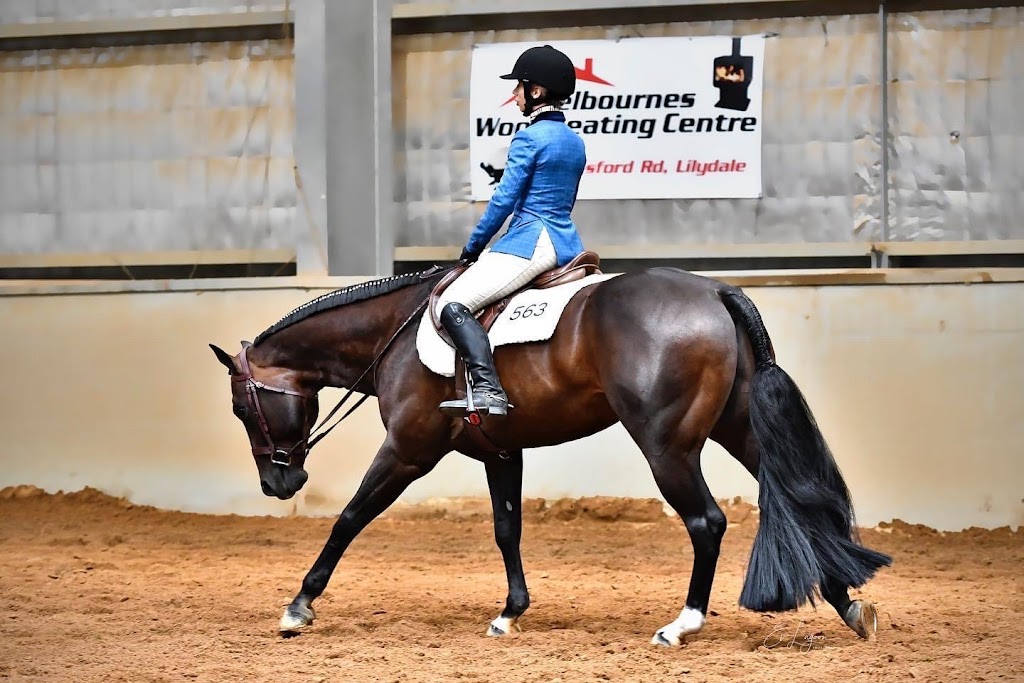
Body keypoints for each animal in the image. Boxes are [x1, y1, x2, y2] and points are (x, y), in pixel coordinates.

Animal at [209, 262, 892, 646]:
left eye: (243, 408)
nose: (278, 484)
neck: (392, 334)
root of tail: (714, 293)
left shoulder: (408, 450)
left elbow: (350, 518)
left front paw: (299, 607)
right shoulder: (500, 453)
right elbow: (506, 529)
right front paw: (510, 614)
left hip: (667, 445)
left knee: (707, 522)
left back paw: (683, 624)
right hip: (740, 430)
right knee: (800, 507)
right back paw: (848, 604)